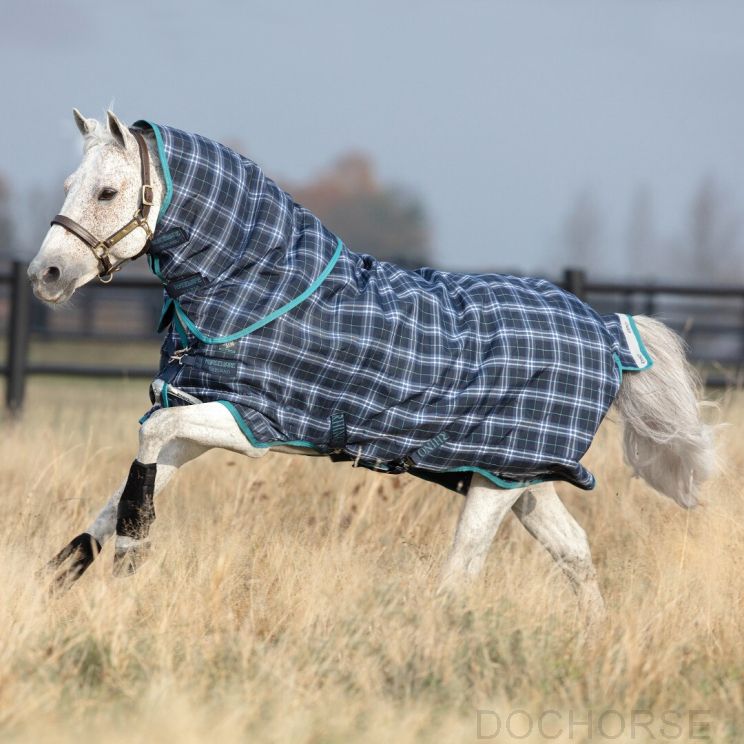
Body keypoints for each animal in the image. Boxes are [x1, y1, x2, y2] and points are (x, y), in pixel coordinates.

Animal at [28, 109, 714, 628]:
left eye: (107, 192)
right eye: (68, 185)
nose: (46, 275)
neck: (261, 285)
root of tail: (605, 329)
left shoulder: (247, 422)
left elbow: (145, 449)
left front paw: (133, 556)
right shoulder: (198, 413)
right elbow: (120, 491)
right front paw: (52, 583)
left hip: (498, 483)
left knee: (463, 571)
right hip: (516, 476)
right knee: (573, 551)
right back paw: (594, 635)